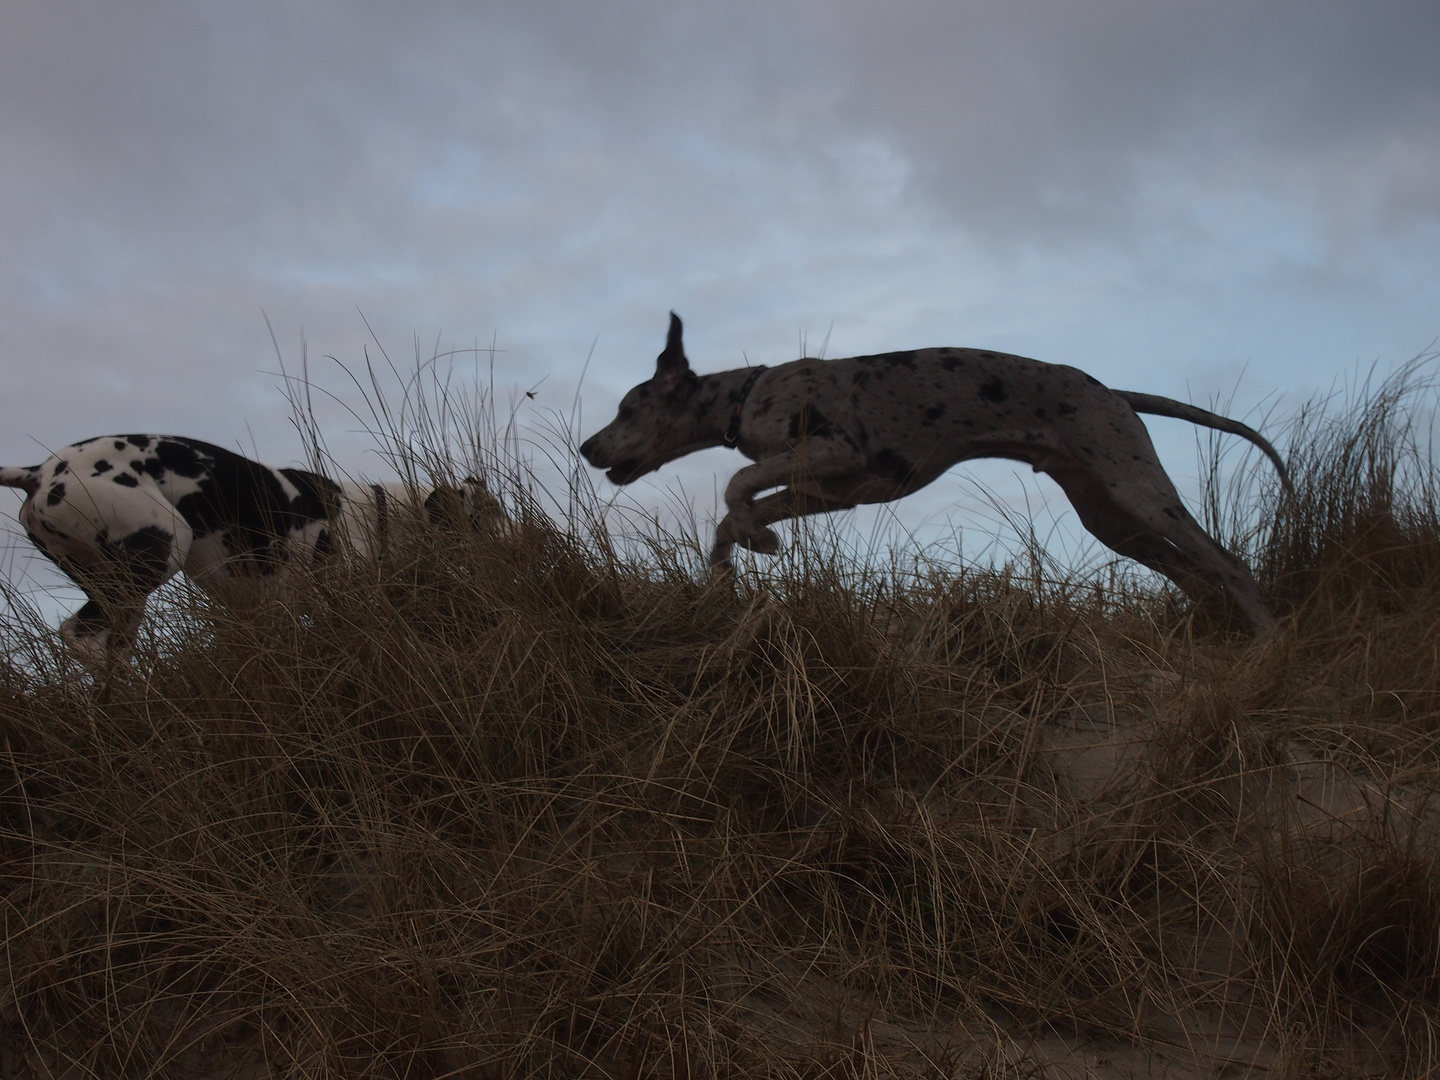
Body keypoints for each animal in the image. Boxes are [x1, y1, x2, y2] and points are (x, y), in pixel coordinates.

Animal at [1, 437, 495, 659]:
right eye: (490, 515)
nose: (524, 541)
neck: (381, 515)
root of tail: (39, 472)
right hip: (159, 552)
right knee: (79, 637)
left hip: (119, 594)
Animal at [584, 312, 1296, 633]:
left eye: (626, 409)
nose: (587, 447)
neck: (746, 394)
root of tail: (1114, 393)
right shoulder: (829, 491)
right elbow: (735, 510)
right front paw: (731, 561)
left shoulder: (836, 455)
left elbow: (735, 486)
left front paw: (755, 540)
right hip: (1113, 520)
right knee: (1195, 575)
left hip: (1139, 489)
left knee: (1229, 563)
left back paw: (1267, 640)